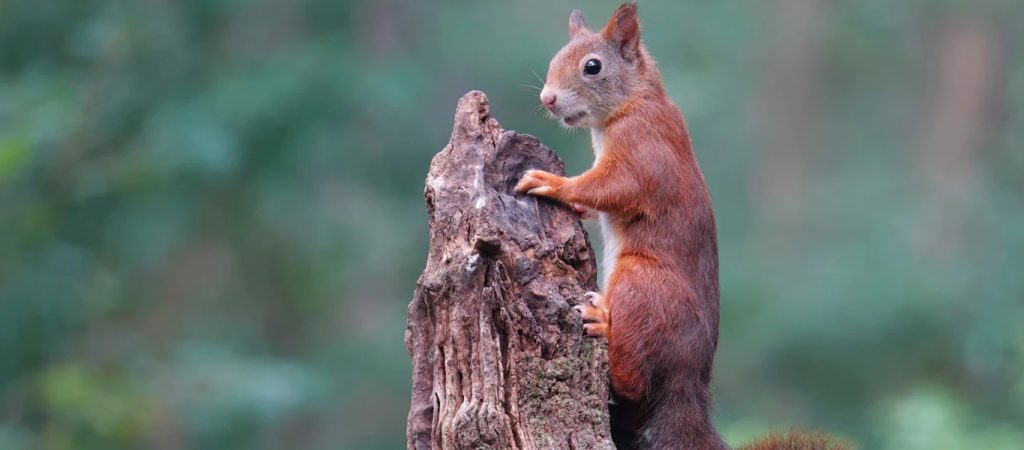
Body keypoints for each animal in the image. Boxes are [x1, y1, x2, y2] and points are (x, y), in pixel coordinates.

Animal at [512, 3, 847, 450]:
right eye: (556, 59)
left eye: (592, 67)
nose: (547, 99)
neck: (634, 102)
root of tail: (688, 382)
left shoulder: (643, 151)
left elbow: (614, 187)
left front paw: (554, 183)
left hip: (643, 282)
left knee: (634, 379)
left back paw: (604, 326)